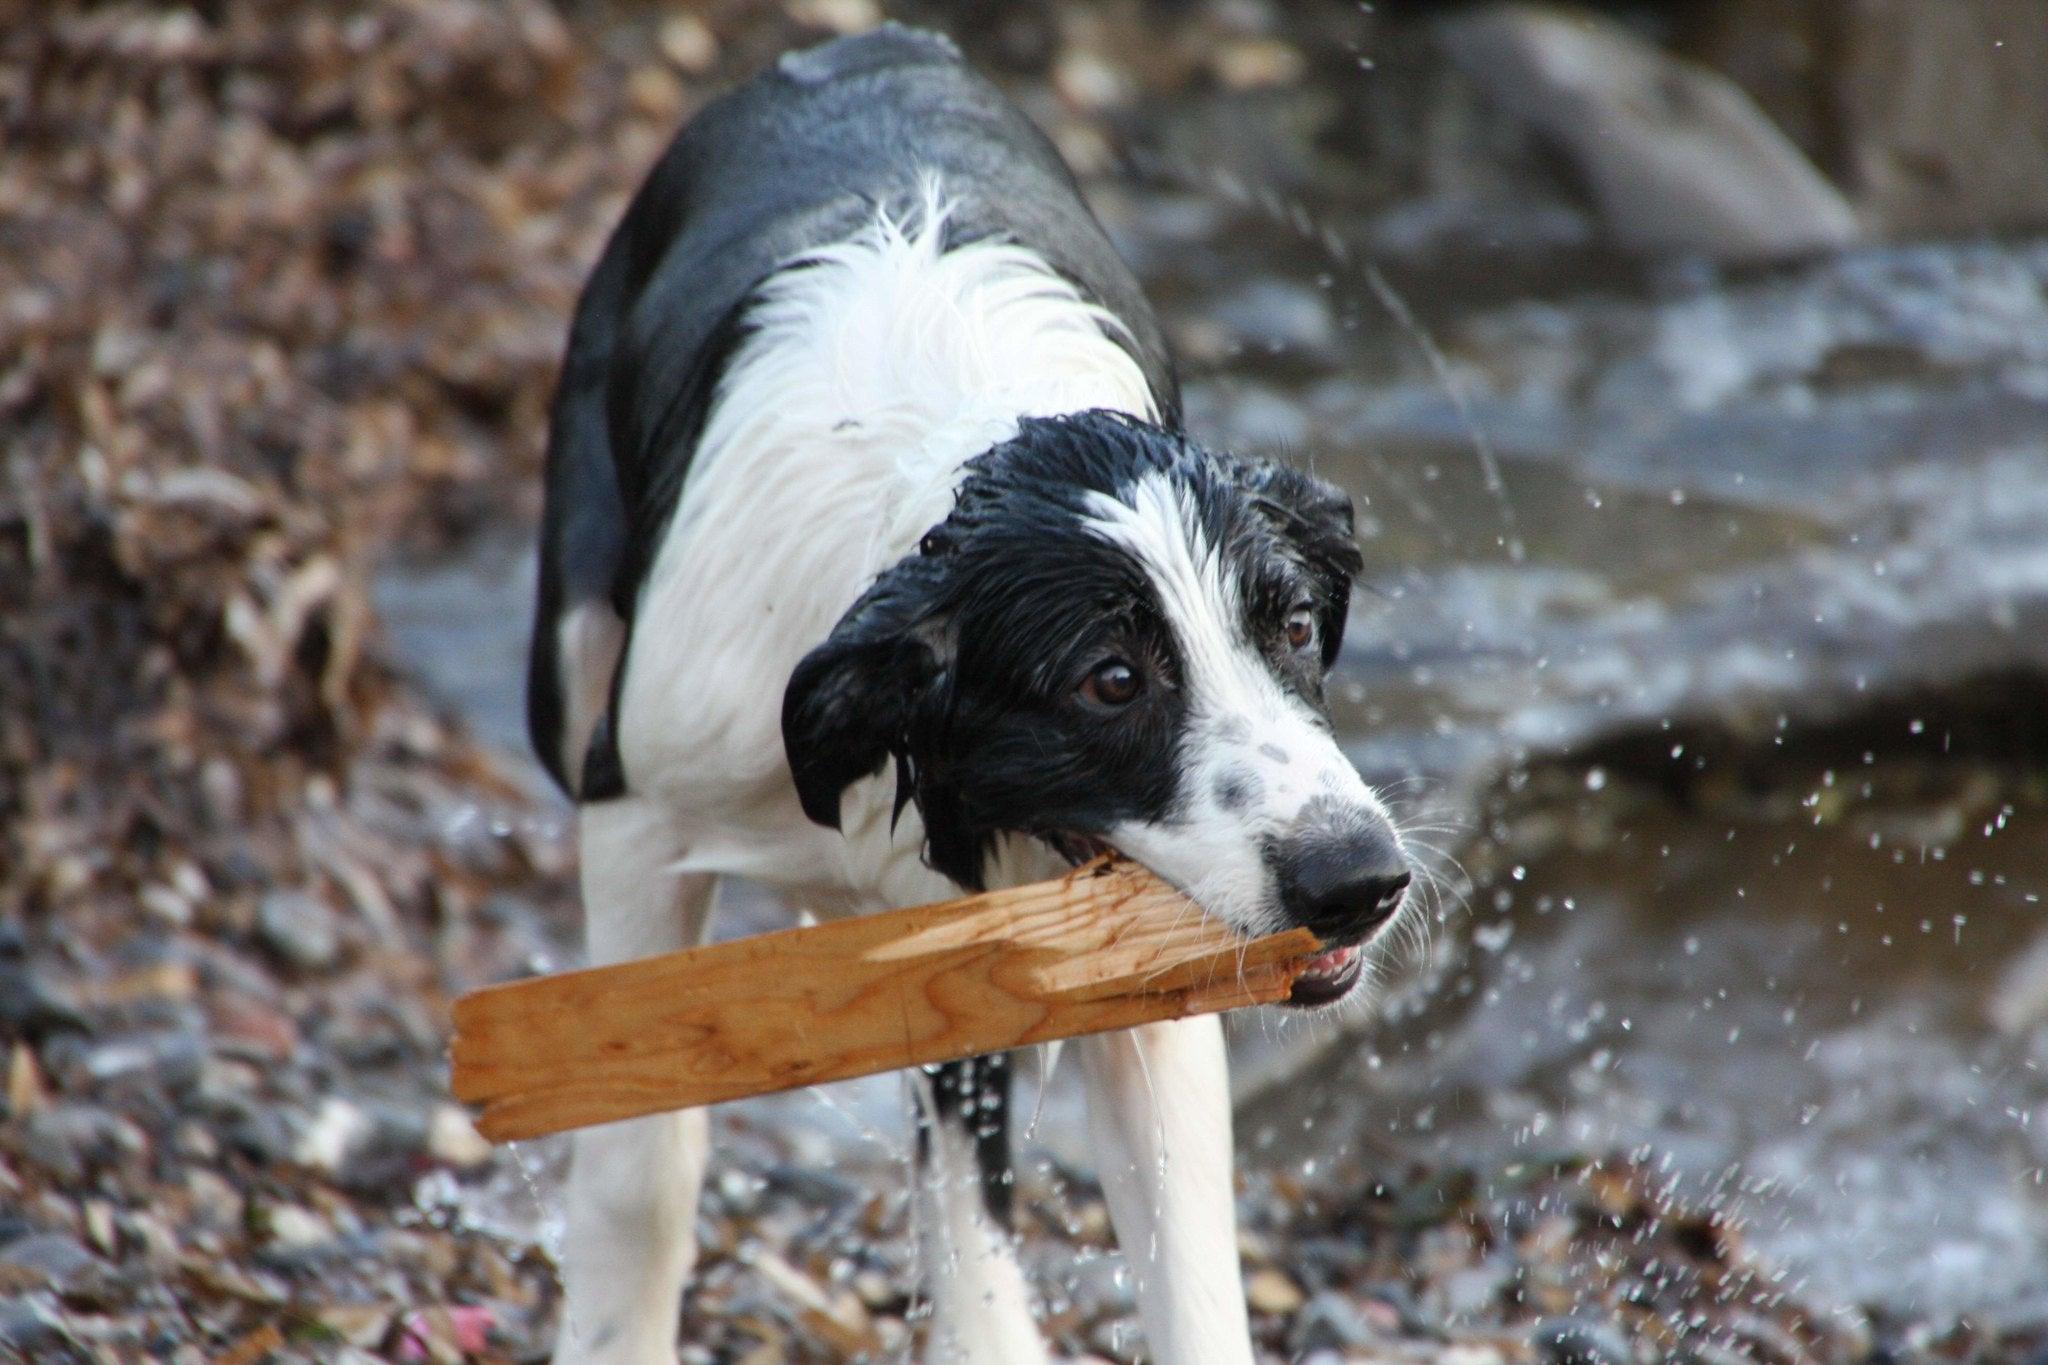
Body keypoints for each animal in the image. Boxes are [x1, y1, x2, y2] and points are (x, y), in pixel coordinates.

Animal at [532, 24, 1409, 1365]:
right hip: (571, 657)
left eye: (1297, 626)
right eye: (1110, 681)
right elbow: (640, 1163)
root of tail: (862, 39)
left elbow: (1175, 1268)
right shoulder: (637, 809)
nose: (1359, 881)